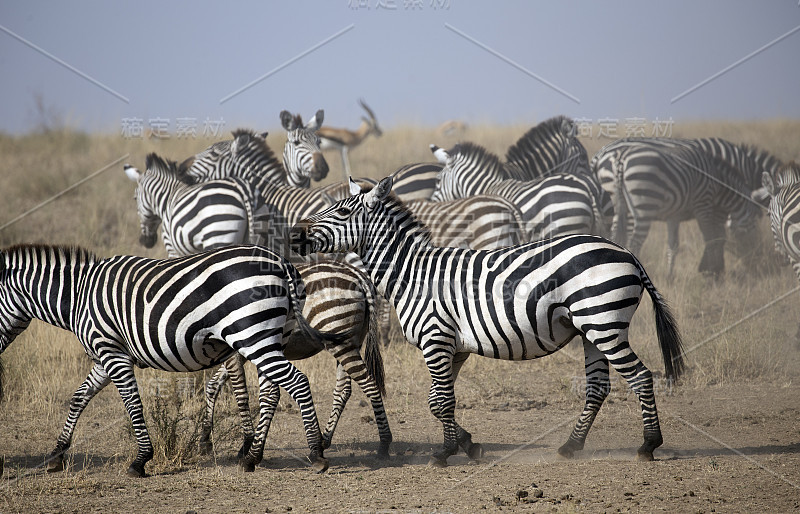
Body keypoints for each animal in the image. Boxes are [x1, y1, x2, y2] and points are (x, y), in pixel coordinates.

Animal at [0, 242, 354, 474]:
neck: (78, 295)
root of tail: (280, 262)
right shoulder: (105, 356)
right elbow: (79, 398)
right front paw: (56, 454)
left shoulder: (112, 353)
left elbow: (132, 402)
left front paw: (141, 459)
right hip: (267, 337)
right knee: (273, 391)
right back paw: (252, 457)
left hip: (253, 335)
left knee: (298, 382)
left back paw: (316, 454)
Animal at [290, 178, 684, 466]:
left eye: (342, 210)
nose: (294, 235)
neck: (413, 274)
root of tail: (626, 252)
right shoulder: (455, 347)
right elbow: (437, 401)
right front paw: (467, 445)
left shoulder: (436, 339)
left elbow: (442, 402)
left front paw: (444, 453)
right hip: (591, 330)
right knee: (598, 387)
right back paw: (571, 446)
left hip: (604, 323)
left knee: (640, 376)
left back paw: (648, 445)